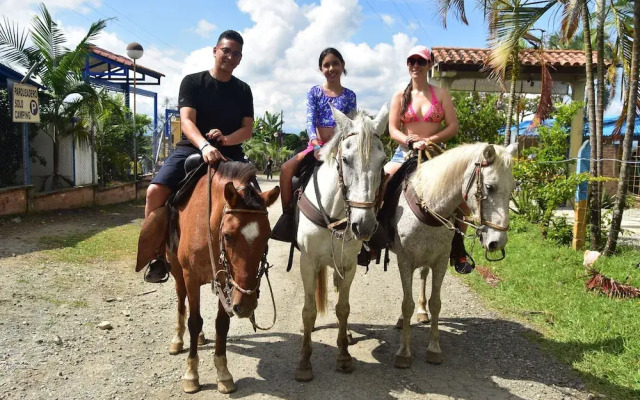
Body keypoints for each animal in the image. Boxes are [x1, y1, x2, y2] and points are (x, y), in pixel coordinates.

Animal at [136, 162, 278, 394]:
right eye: (228, 235)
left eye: (267, 236)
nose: (246, 306)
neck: (209, 224)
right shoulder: (190, 276)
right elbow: (194, 321)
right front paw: (191, 375)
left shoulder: (224, 280)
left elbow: (221, 324)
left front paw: (223, 373)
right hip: (178, 272)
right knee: (182, 303)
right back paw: (178, 340)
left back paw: (201, 337)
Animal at [296, 104, 390, 382]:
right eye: (346, 159)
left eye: (383, 161)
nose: (364, 225)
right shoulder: (308, 262)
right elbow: (308, 310)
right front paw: (304, 362)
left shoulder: (348, 265)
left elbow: (343, 308)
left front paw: (344, 356)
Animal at [390, 143, 520, 368]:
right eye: (489, 187)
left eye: (513, 188)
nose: (498, 242)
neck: (429, 206)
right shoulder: (404, 260)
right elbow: (406, 304)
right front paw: (404, 352)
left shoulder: (440, 260)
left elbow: (436, 303)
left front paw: (434, 349)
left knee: (423, 275)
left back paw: (422, 312)